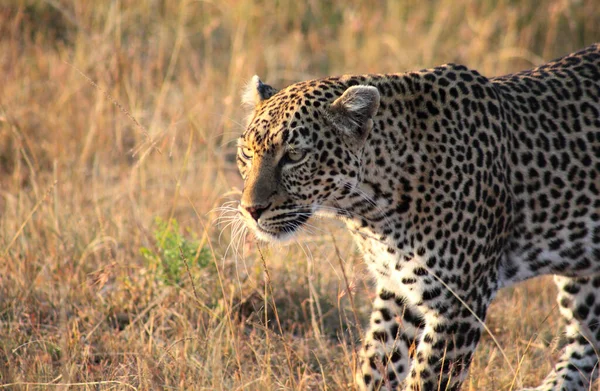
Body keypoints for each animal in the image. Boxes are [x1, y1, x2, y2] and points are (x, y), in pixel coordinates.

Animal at [231, 44, 600, 390]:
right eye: (246, 153)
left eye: (294, 156)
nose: (251, 210)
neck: (371, 211)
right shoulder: (396, 291)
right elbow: (376, 365)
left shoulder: (459, 305)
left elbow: (426, 379)